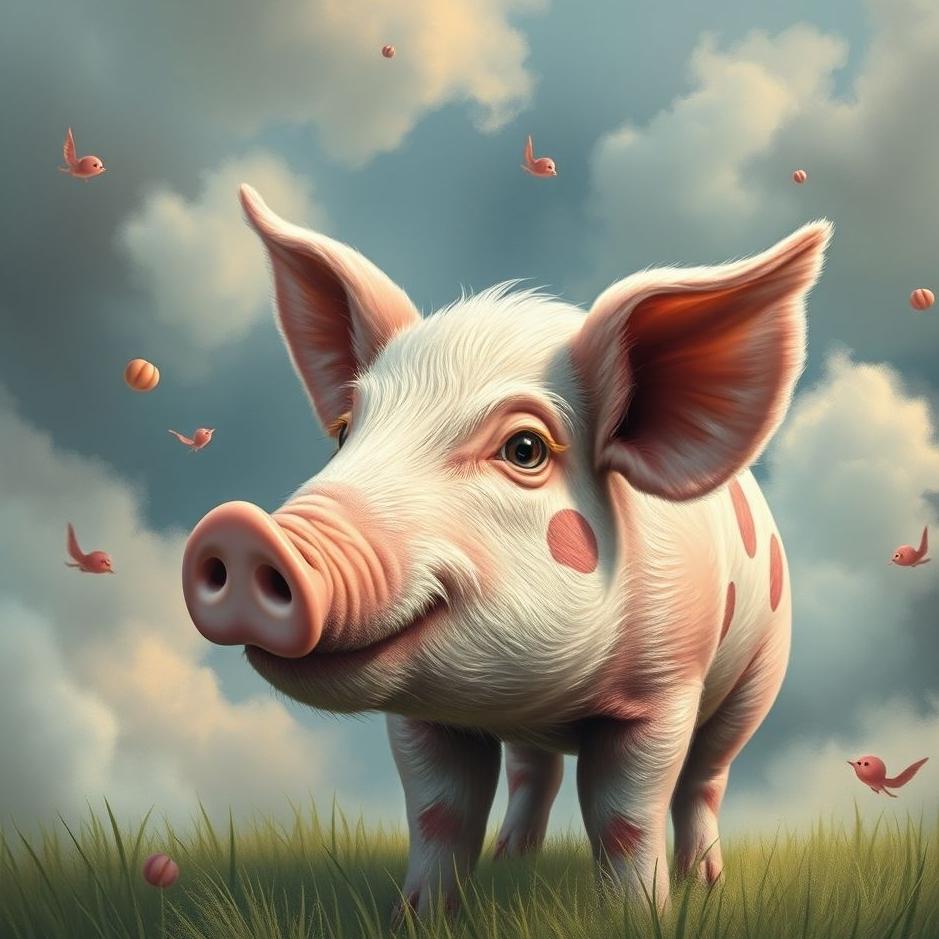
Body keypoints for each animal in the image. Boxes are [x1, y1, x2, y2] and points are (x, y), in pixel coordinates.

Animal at [182, 184, 832, 918]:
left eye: (524, 449)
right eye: (346, 431)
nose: (240, 528)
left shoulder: (664, 686)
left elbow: (626, 813)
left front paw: (641, 917)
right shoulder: (422, 712)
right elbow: (439, 810)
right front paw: (419, 917)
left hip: (760, 669)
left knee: (706, 776)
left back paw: (706, 879)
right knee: (533, 770)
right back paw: (511, 860)